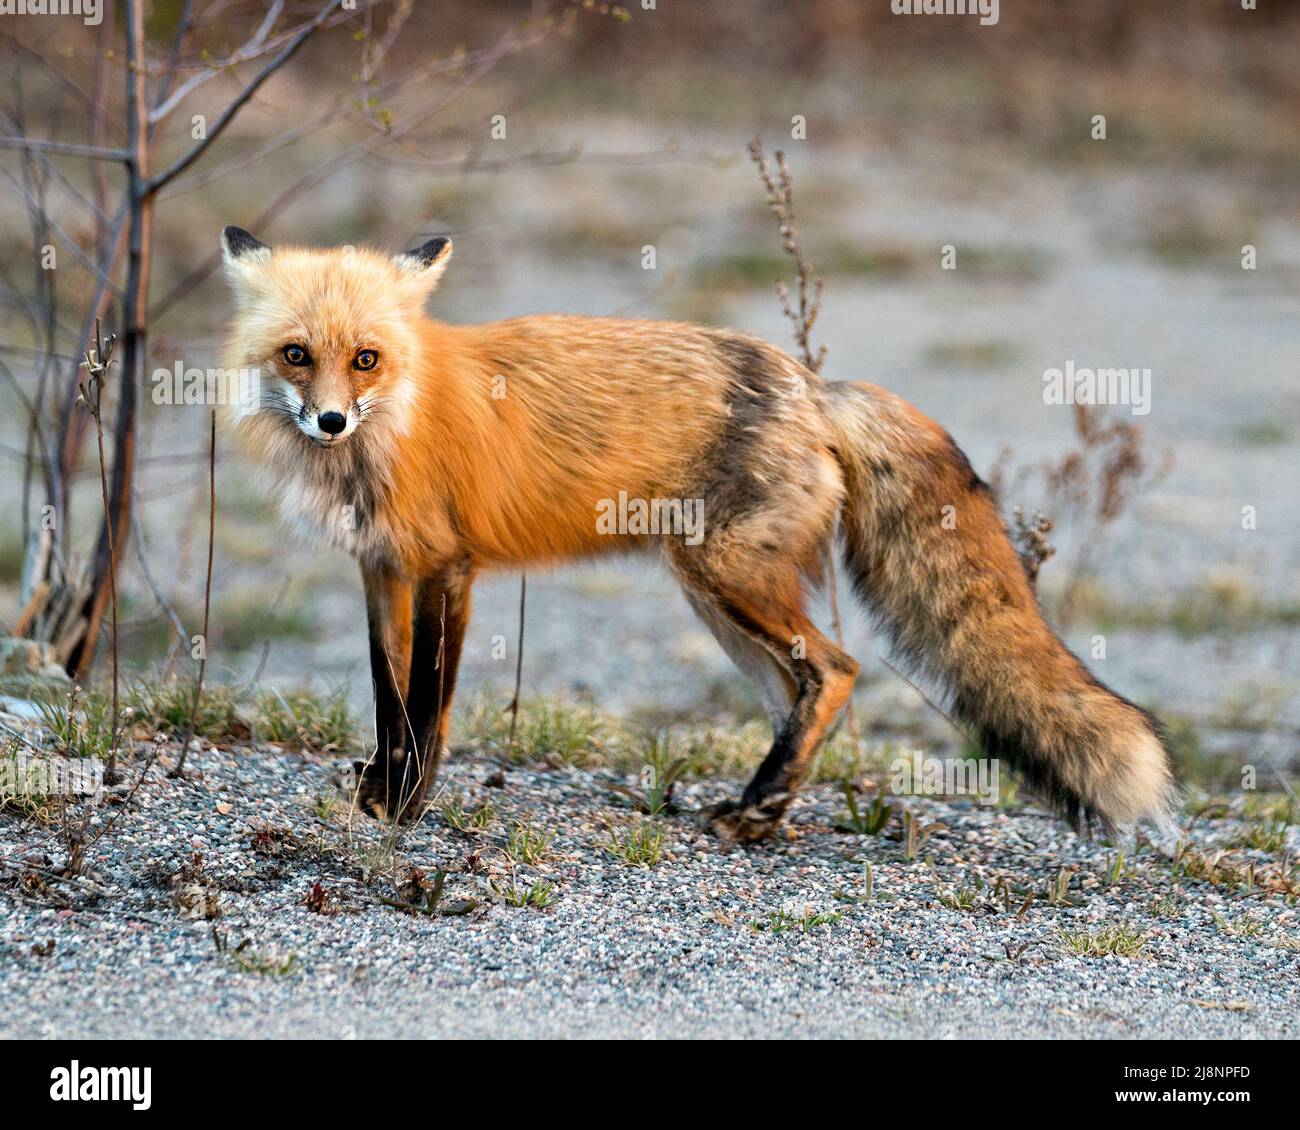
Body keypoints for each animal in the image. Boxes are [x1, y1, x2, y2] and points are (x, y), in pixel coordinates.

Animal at [218, 225, 1177, 842]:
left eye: (367, 359)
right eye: (297, 355)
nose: (331, 421)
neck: (391, 431)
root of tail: (813, 384)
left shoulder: (449, 569)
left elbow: (428, 706)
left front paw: (409, 808)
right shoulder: (381, 569)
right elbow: (388, 702)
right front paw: (379, 794)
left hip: (723, 573)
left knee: (837, 669)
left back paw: (756, 806)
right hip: (716, 597)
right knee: (801, 689)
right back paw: (766, 805)